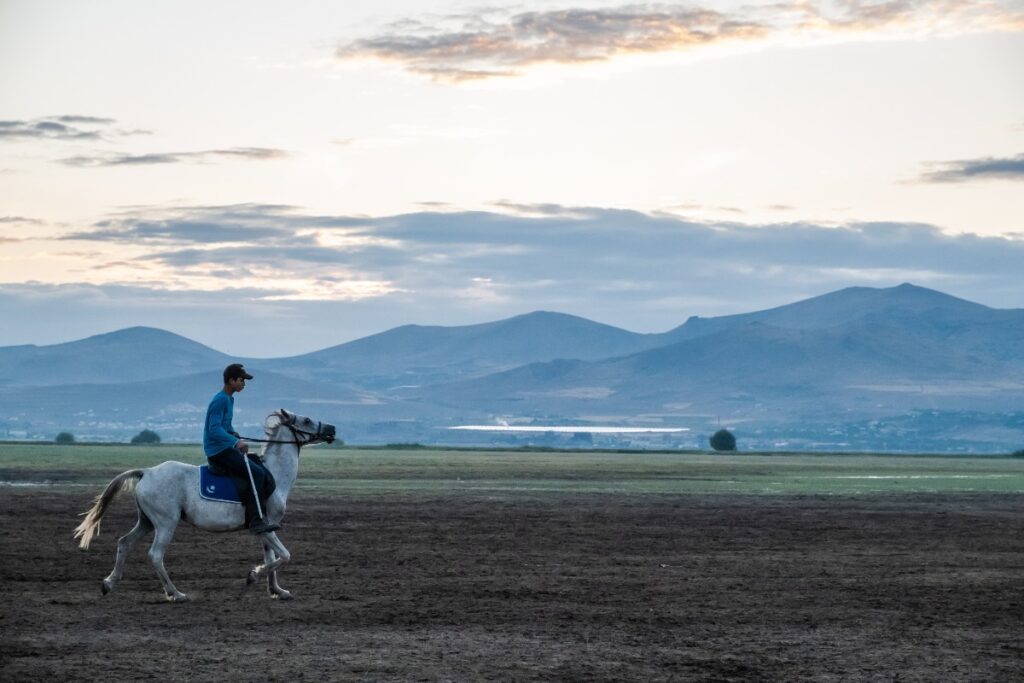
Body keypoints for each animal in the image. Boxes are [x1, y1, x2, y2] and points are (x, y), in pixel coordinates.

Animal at [73, 409, 335, 602]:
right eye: (307, 420)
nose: (332, 429)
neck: (274, 474)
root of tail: (146, 472)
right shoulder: (265, 525)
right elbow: (285, 556)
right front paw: (253, 576)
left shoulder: (266, 528)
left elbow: (272, 558)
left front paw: (276, 590)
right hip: (166, 523)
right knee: (155, 555)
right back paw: (175, 593)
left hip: (147, 521)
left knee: (124, 543)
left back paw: (109, 583)